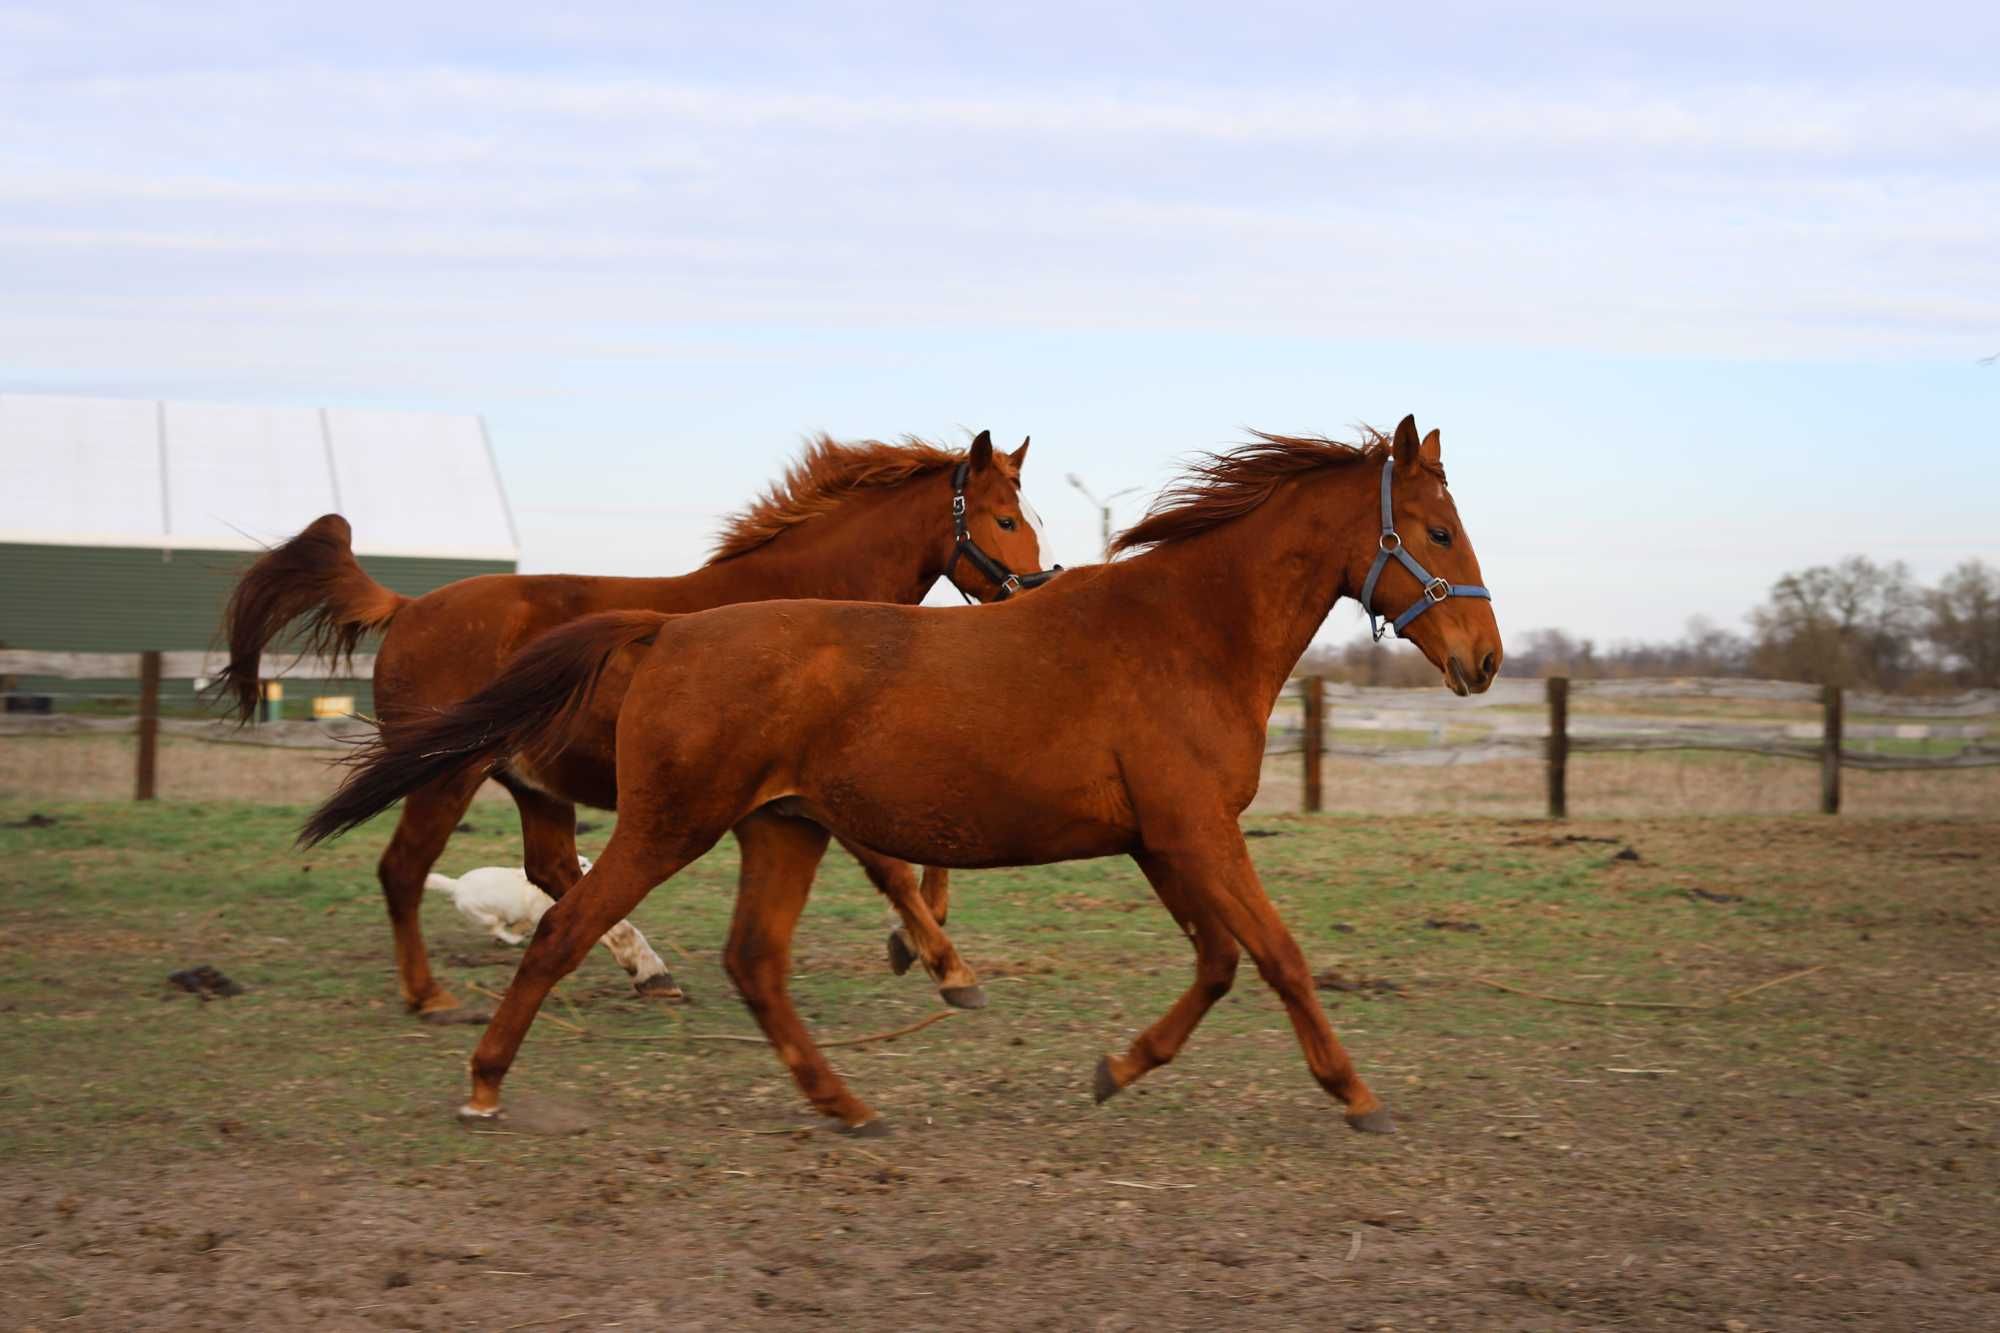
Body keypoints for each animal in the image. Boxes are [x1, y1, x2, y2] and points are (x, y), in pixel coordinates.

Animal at [227, 430, 1056, 1012]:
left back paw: (649, 971)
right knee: (404, 869)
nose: (1034, 591)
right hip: (446, 777)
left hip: (533, 782)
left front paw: (916, 944)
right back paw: (430, 996)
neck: (808, 605)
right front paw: (946, 966)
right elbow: (894, 865)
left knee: (553, 868)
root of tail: (406, 606)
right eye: (1005, 517)